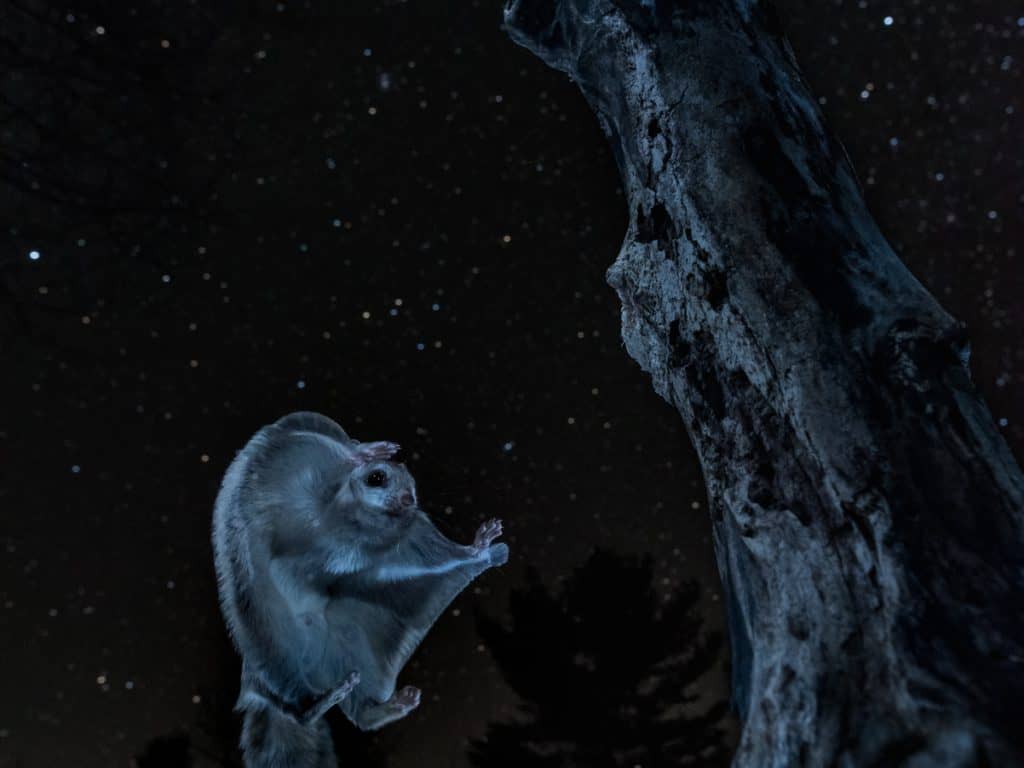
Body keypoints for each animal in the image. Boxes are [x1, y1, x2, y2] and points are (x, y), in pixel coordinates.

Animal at [210, 411, 507, 765]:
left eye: (413, 487)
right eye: (377, 478)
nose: (408, 500)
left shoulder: (409, 539)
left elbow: (434, 554)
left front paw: (480, 548)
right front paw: (367, 452)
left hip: (360, 646)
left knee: (361, 713)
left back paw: (385, 704)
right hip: (272, 652)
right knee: (296, 703)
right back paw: (318, 701)